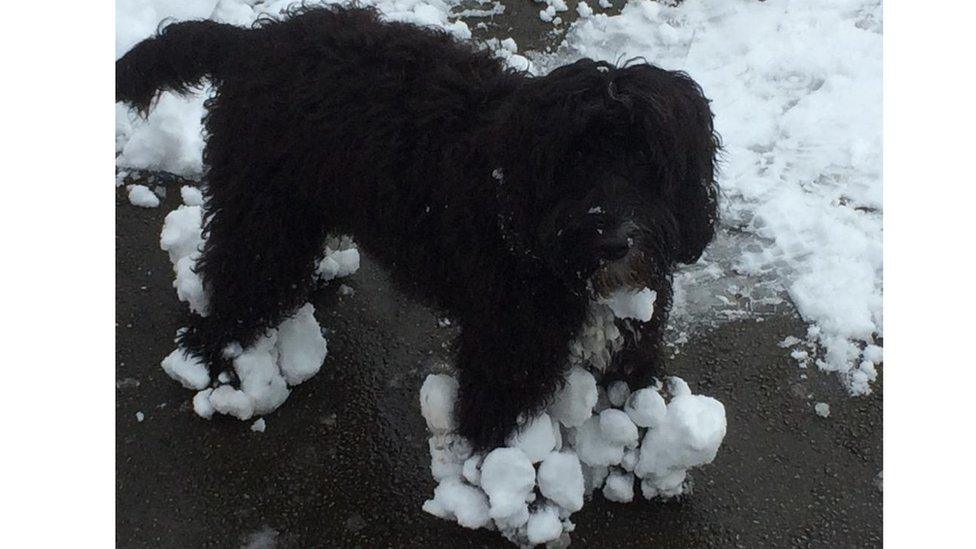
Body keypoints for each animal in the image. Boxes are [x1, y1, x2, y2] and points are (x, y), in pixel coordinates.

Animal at [118, 5, 720, 450]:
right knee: (236, 281)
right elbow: (493, 413)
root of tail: (253, 42)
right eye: (575, 158)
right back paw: (216, 361)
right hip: (261, 213)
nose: (614, 241)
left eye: (647, 159)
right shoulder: (505, 344)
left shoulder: (632, 327)